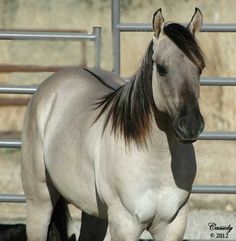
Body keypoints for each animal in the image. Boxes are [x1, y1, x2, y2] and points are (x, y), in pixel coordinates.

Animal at [21, 7, 206, 241]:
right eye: (162, 68)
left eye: (200, 69)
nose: (190, 126)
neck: (156, 160)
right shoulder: (124, 224)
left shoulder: (173, 225)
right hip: (40, 203)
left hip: (94, 212)